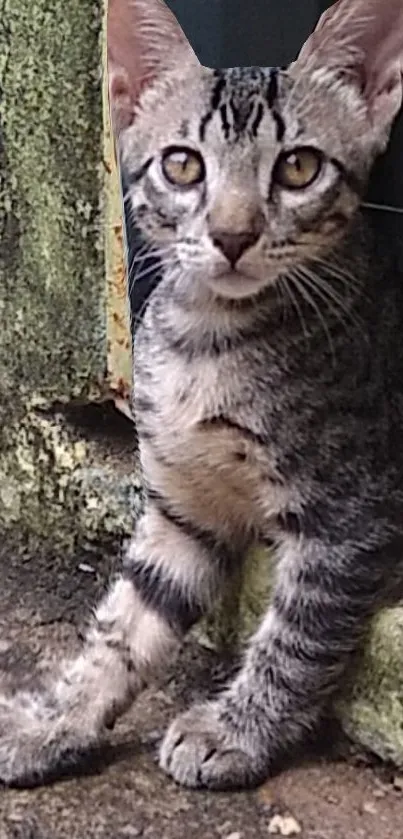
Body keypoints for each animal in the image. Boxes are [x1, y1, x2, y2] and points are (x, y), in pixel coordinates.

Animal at [0, 0, 403, 792]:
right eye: (182, 165)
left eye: (299, 167)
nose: (232, 233)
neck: (208, 339)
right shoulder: (181, 510)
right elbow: (125, 623)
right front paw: (56, 719)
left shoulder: (352, 511)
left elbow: (296, 633)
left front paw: (234, 730)